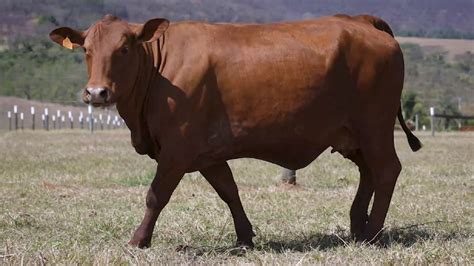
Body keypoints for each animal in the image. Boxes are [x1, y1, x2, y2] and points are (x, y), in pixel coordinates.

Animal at [51, 14, 422, 247]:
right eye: (87, 51)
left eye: (124, 48)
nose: (97, 93)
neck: (159, 71)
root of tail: (361, 20)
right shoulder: (207, 153)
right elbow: (229, 190)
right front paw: (245, 237)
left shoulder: (177, 150)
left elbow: (156, 195)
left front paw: (138, 240)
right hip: (352, 136)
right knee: (368, 173)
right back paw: (358, 226)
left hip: (374, 126)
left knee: (386, 170)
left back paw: (372, 233)